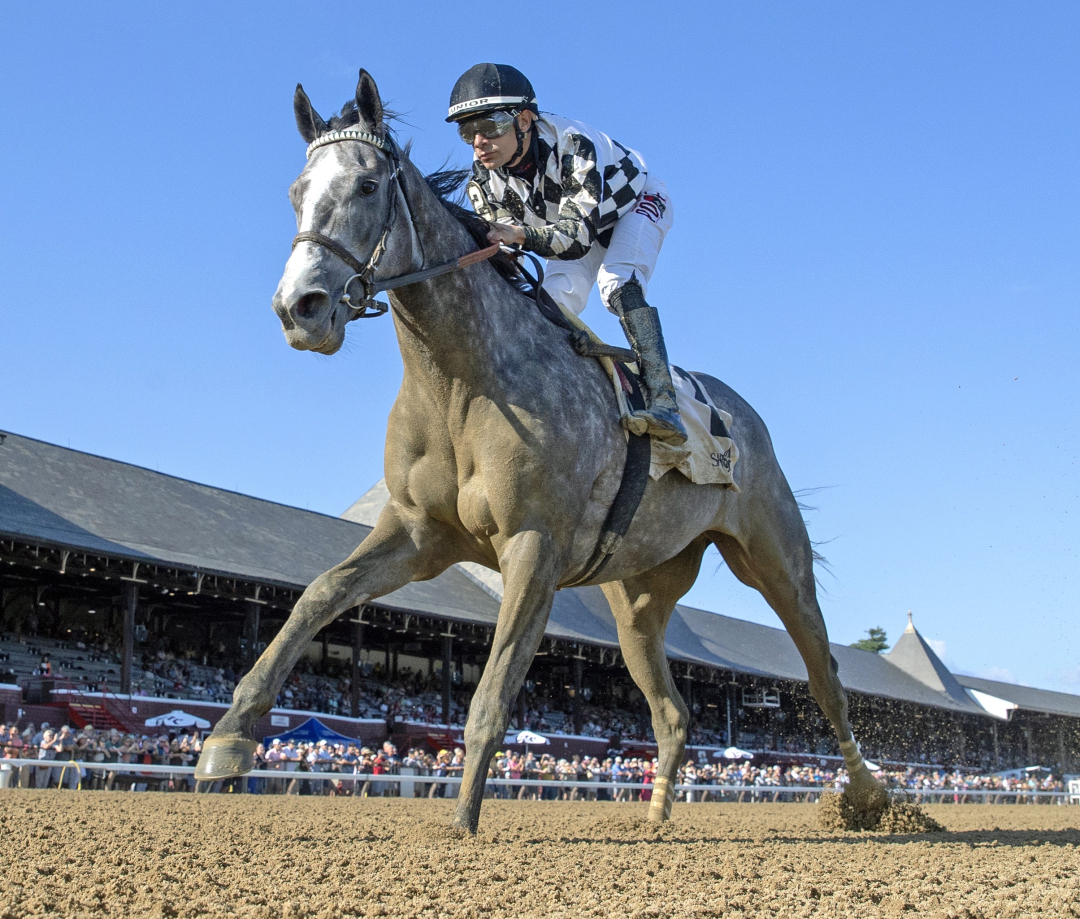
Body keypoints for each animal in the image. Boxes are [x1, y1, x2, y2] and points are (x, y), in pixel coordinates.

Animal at [194, 71, 885, 833]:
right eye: (297, 190)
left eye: (369, 185)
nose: (301, 308)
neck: (462, 380)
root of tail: (745, 416)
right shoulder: (418, 533)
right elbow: (316, 596)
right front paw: (228, 738)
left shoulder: (532, 547)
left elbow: (492, 696)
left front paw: (463, 826)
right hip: (638, 600)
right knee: (673, 712)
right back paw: (655, 820)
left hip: (775, 560)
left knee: (826, 680)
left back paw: (871, 798)